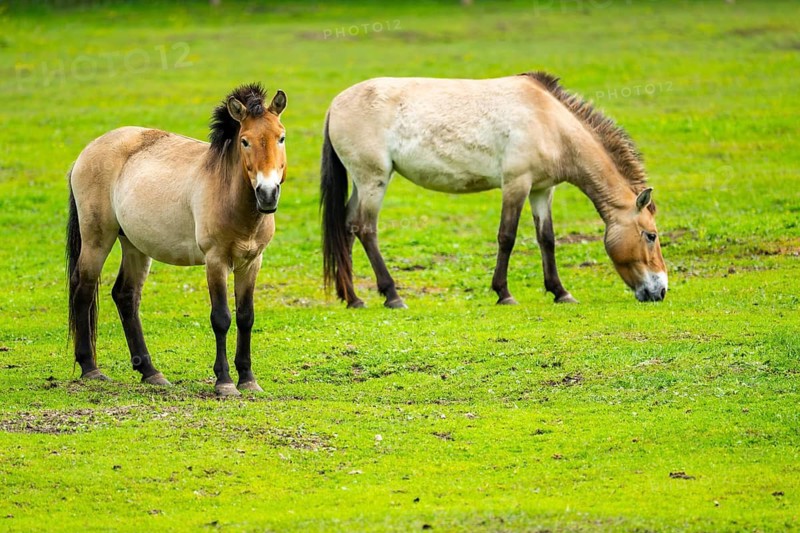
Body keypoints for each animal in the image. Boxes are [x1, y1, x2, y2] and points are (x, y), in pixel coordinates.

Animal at [66, 83, 287, 396]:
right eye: (245, 141)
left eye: (281, 137)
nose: (267, 194)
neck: (228, 195)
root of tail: (86, 152)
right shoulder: (216, 261)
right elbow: (221, 318)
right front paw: (224, 382)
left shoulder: (252, 262)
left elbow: (246, 317)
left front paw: (247, 378)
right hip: (97, 239)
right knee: (83, 289)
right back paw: (90, 368)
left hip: (134, 245)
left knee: (125, 295)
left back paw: (150, 372)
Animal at [321, 72, 667, 308]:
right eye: (650, 235)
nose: (661, 291)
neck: (550, 122)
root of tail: (335, 105)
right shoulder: (516, 183)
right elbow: (507, 237)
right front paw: (504, 293)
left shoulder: (542, 190)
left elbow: (547, 239)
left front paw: (560, 292)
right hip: (373, 180)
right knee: (365, 228)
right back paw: (392, 296)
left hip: (362, 182)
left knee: (347, 226)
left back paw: (353, 298)